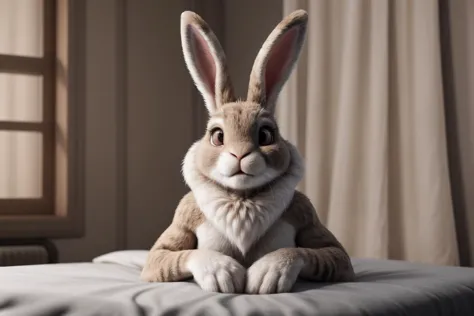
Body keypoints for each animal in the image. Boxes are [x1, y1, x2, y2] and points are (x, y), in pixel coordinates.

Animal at [141, 10, 356, 296]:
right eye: (217, 136)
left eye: (266, 135)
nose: (240, 155)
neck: (242, 199)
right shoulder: (174, 231)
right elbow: (179, 255)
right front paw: (223, 275)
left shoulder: (310, 220)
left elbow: (311, 252)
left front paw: (267, 275)